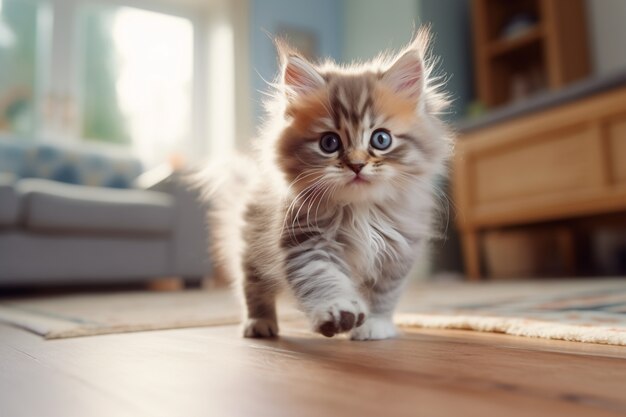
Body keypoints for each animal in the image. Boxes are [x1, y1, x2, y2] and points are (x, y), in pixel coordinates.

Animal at [208, 30, 448, 342]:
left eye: (381, 139)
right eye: (329, 143)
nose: (357, 165)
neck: (361, 211)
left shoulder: (398, 251)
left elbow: (384, 294)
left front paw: (375, 325)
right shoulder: (307, 242)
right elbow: (322, 280)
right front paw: (338, 312)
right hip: (252, 248)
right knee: (253, 287)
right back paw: (259, 323)